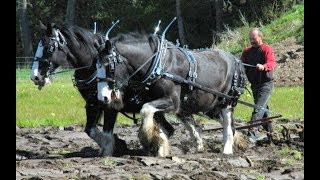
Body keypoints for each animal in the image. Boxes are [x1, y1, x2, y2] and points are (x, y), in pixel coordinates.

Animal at [30, 22, 151, 156]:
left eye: (48, 49)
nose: (35, 76)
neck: (92, 69)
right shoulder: (92, 104)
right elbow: (90, 130)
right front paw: (118, 145)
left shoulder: (110, 104)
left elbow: (106, 131)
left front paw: (110, 150)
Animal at [97, 31, 248, 156]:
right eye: (95, 67)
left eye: (109, 67)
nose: (103, 97)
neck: (159, 65)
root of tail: (235, 59)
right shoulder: (156, 102)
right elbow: (159, 122)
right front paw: (159, 145)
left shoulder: (172, 102)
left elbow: (145, 110)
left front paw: (147, 137)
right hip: (209, 106)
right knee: (224, 124)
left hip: (226, 101)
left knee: (228, 125)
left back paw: (227, 150)